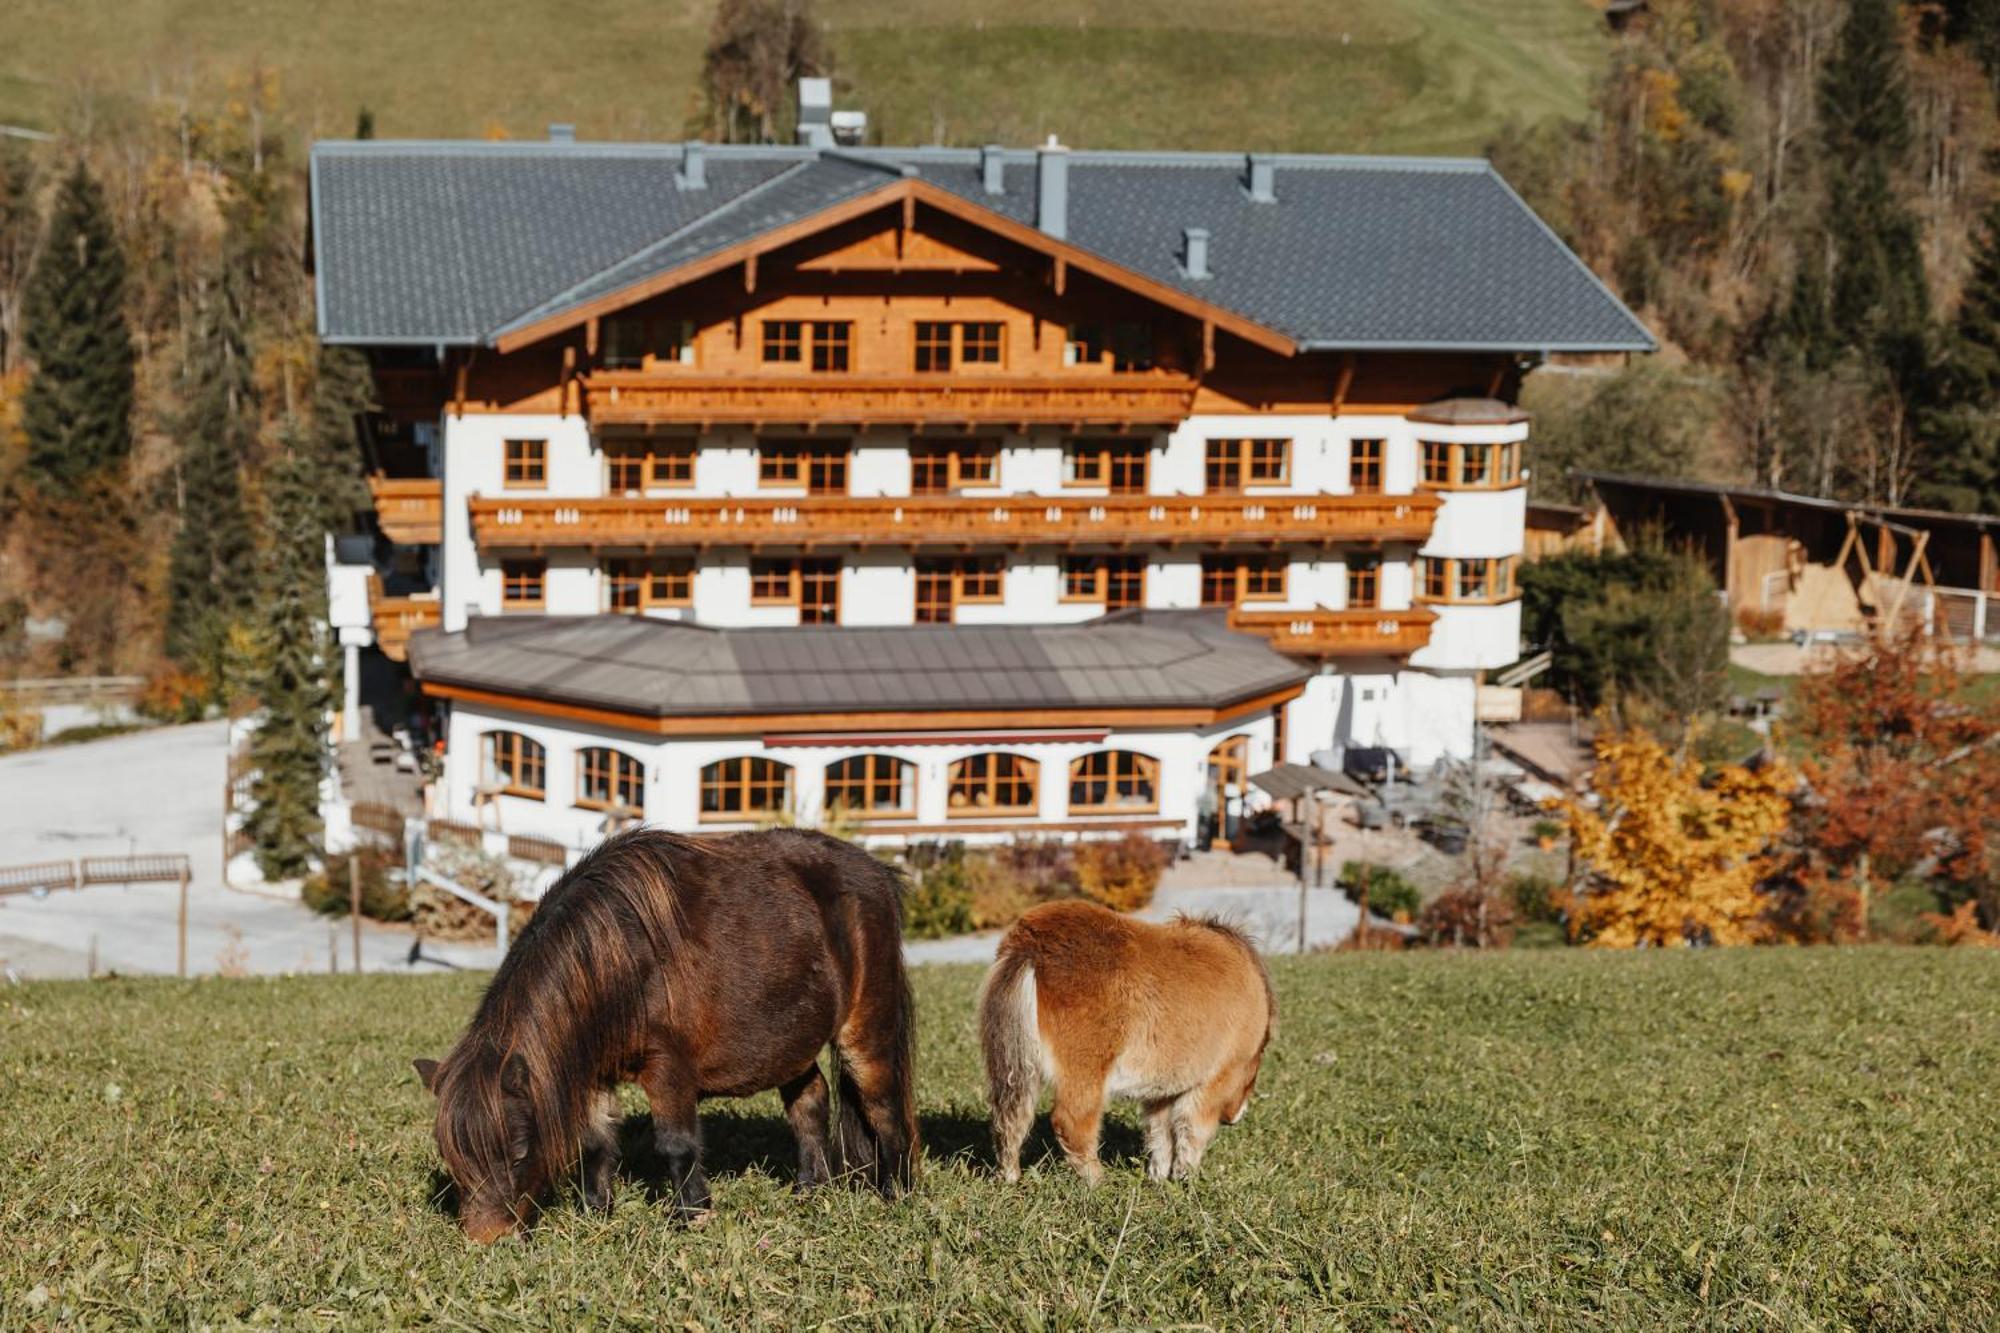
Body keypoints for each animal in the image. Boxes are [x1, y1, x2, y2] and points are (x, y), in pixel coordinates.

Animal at [422, 824, 920, 1240]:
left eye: (521, 1151)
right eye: (451, 1155)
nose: (489, 1241)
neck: (621, 953)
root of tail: (878, 873)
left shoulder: (668, 1067)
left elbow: (677, 1144)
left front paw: (691, 1215)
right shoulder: (598, 1072)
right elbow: (595, 1142)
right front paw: (596, 1212)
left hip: (865, 1032)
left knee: (884, 1111)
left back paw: (897, 1193)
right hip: (791, 1044)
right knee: (811, 1102)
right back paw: (810, 1188)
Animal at [976, 896, 1272, 1176]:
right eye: (1257, 1059)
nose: (1235, 1117)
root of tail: (1029, 948)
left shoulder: (1163, 1091)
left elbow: (1159, 1135)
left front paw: (1159, 1179)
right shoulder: (1213, 1082)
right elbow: (1191, 1131)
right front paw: (1186, 1179)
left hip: (1014, 1068)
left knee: (1010, 1119)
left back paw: (1009, 1176)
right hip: (1086, 1071)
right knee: (1072, 1123)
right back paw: (1096, 1181)